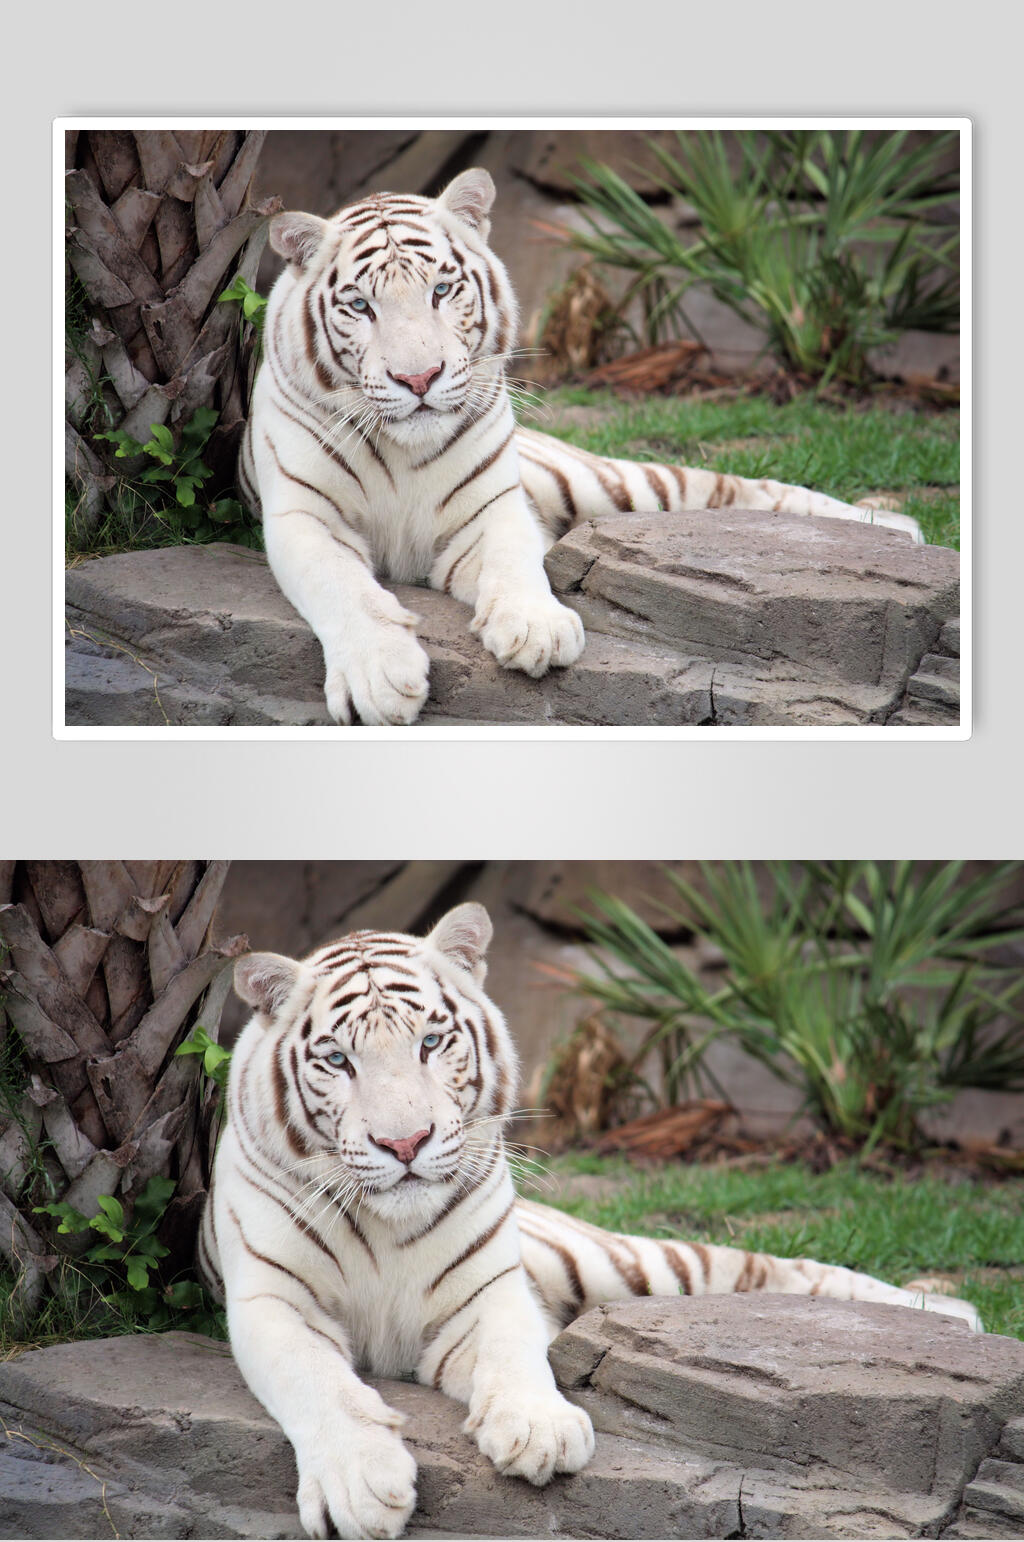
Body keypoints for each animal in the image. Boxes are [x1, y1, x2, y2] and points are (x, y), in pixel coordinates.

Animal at [200, 903, 981, 1541]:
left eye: (430, 1043)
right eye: (338, 1060)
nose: (406, 1143)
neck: (389, 1228)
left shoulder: (490, 1291)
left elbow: (515, 1349)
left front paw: (539, 1428)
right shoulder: (272, 1301)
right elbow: (318, 1382)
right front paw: (359, 1485)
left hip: (622, 1265)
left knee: (765, 1267)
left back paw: (949, 1314)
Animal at [240, 167, 923, 727]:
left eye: (441, 291)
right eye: (360, 306)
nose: (419, 378)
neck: (405, 454)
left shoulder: (493, 507)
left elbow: (516, 558)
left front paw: (536, 627)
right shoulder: (303, 516)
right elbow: (343, 587)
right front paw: (379, 677)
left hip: (608, 485)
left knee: (735, 487)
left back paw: (895, 527)